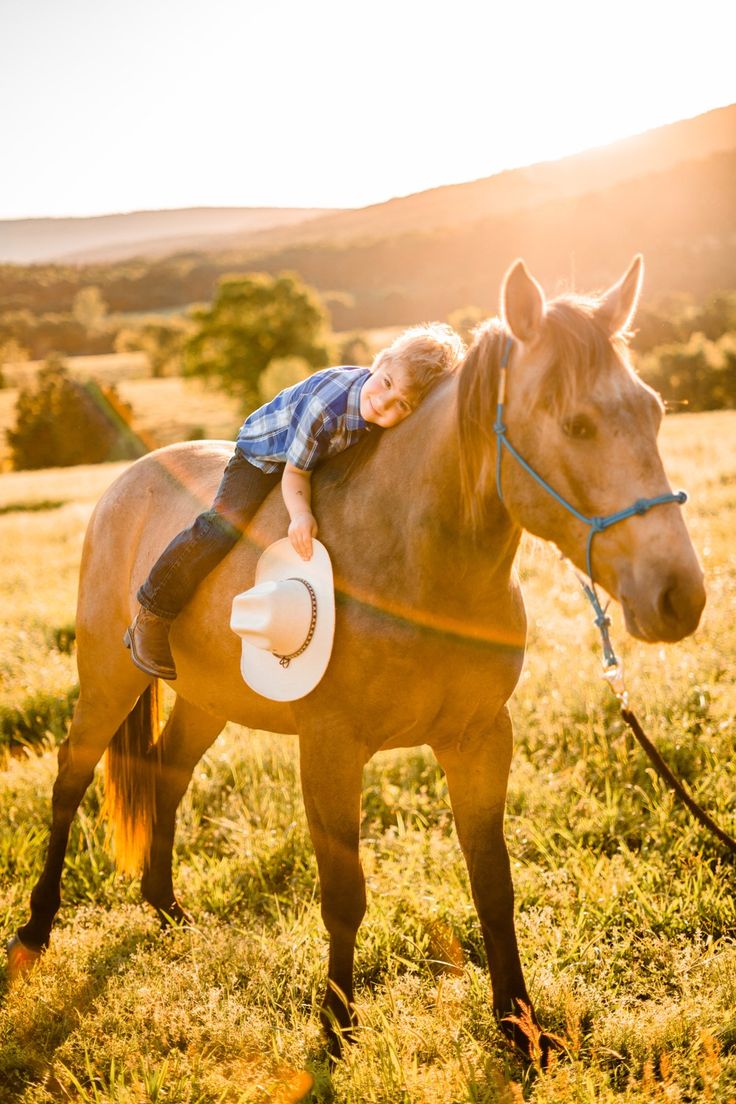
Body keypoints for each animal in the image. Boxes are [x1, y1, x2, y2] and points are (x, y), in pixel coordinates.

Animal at [8, 253, 706, 1055]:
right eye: (578, 423)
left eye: (654, 411)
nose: (679, 596)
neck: (414, 560)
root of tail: (126, 482)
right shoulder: (330, 749)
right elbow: (344, 896)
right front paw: (337, 1025)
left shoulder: (480, 741)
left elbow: (493, 888)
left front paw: (519, 1028)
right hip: (107, 676)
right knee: (70, 780)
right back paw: (36, 928)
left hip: (206, 698)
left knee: (167, 776)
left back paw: (166, 911)